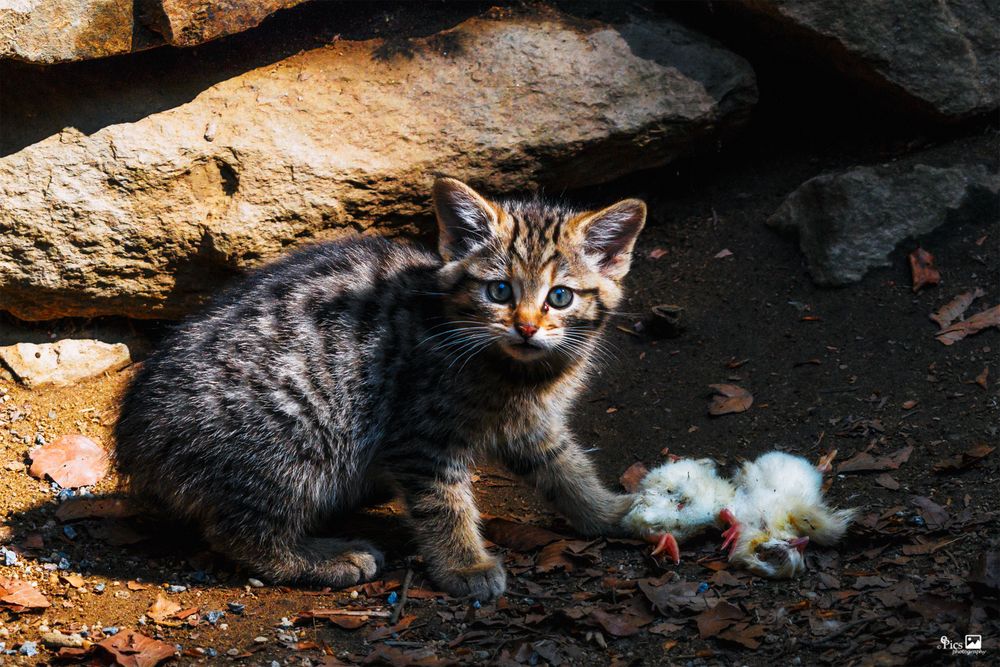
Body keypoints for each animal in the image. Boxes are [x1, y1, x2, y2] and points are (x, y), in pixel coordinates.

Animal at [115, 179, 648, 600]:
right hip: (294, 432)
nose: (527, 328)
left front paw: (610, 511)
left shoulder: (533, 424)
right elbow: (443, 502)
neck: (517, 372)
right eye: (499, 290)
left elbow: (565, 467)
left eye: (560, 296)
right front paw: (465, 564)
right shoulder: (417, 435)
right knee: (239, 532)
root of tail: (136, 443)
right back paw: (323, 559)